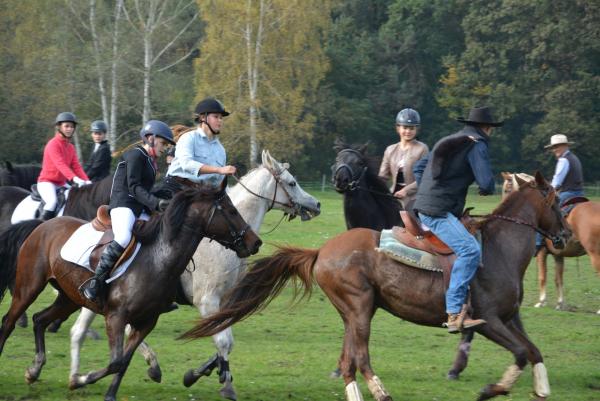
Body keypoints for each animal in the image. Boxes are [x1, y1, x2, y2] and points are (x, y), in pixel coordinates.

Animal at [0, 185, 262, 400]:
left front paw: (107, 392)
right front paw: (79, 379)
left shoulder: (146, 322)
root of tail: (42, 225)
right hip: (29, 288)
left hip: (69, 298)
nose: (255, 242)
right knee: (10, 321)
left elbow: (123, 362)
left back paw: (34, 370)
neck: (158, 259)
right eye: (230, 211)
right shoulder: (116, 317)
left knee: (40, 320)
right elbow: (116, 361)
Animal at [67, 149, 324, 396]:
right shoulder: (207, 301)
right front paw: (224, 384)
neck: (219, 242)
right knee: (85, 331)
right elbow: (223, 341)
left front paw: (201, 372)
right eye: (291, 183)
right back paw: (85, 376)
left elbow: (223, 339)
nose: (317, 204)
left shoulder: (224, 302)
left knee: (95, 330)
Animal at [178, 172, 568, 400]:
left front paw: (541, 389)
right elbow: (520, 353)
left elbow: (534, 351)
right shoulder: (488, 320)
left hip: (354, 313)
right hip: (361, 308)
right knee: (361, 358)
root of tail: (321, 250)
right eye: (557, 202)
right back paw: (380, 391)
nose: (564, 235)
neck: (498, 249)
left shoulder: (509, 317)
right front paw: (492, 389)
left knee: (349, 360)